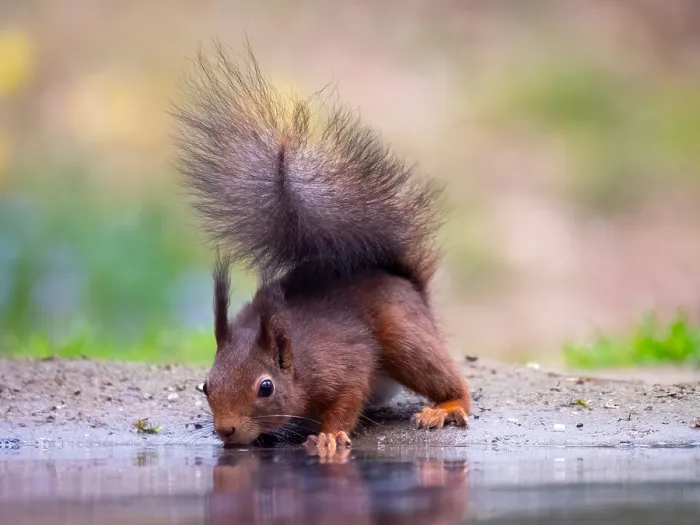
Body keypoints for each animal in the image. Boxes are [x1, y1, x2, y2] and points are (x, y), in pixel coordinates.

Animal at [173, 44, 470, 452]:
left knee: (447, 380)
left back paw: (446, 407)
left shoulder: (344, 364)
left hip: (406, 337)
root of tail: (409, 286)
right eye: (205, 385)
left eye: (265, 387)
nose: (226, 430)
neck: (297, 359)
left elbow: (348, 398)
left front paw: (328, 436)